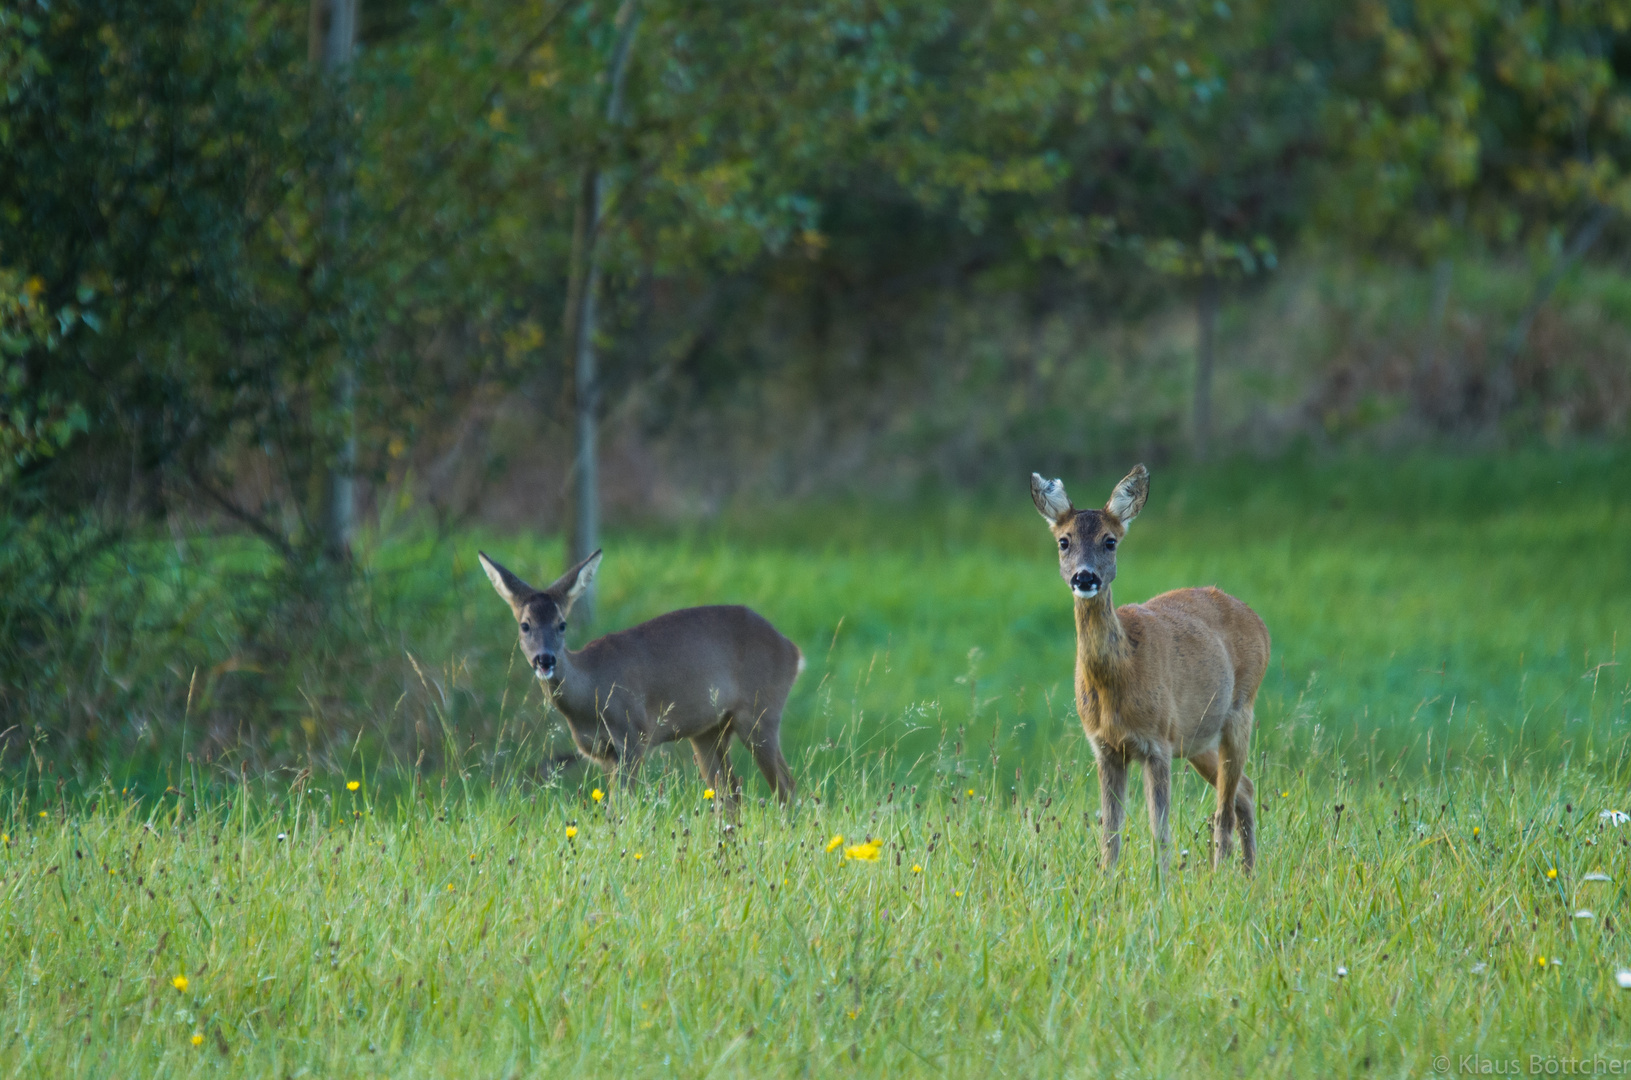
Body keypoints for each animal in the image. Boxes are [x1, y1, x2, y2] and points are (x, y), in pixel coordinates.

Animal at [476, 551, 805, 802]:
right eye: (525, 625)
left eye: (562, 624)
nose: (544, 659)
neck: (591, 693)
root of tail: (793, 650)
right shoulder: (601, 752)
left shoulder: (632, 735)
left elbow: (622, 806)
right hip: (708, 730)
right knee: (731, 793)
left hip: (761, 711)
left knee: (786, 787)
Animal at [1030, 466, 1272, 874]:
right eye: (1064, 541)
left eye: (1110, 541)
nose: (1084, 577)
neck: (1119, 680)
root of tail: (1259, 622)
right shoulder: (1105, 748)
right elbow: (1110, 835)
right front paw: (1107, 881)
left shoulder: (1157, 742)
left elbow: (1160, 830)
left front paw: (1162, 883)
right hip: (1195, 739)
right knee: (1246, 791)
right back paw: (1249, 874)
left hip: (1240, 710)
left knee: (1224, 809)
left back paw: (1224, 876)